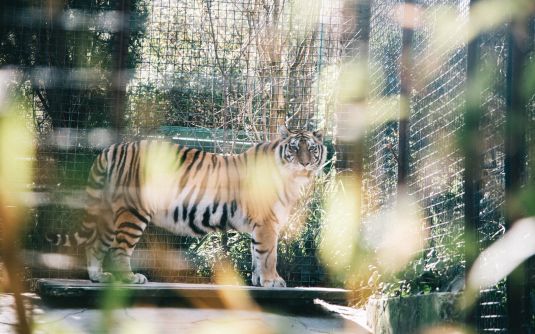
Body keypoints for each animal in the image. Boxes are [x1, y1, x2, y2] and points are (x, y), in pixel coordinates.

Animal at [49, 126, 326, 288]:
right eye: (294, 148)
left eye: (311, 149)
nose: (304, 163)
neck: (292, 179)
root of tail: (113, 147)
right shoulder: (267, 222)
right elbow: (269, 255)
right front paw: (272, 281)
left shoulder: (260, 224)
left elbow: (257, 254)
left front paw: (259, 281)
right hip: (132, 212)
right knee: (119, 249)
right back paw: (130, 278)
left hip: (109, 212)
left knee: (95, 245)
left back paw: (99, 277)